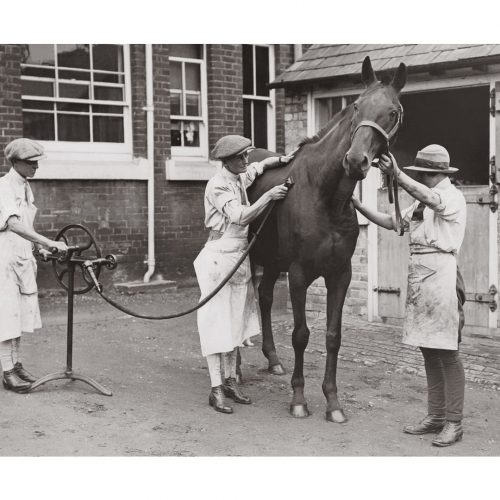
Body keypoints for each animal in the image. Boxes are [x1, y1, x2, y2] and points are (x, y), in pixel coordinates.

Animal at [246, 56, 406, 424]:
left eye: (393, 112)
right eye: (357, 105)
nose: (355, 160)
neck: (324, 194)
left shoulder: (340, 274)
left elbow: (333, 336)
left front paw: (332, 402)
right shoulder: (299, 274)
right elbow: (301, 335)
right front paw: (299, 399)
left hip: (273, 261)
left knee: (264, 297)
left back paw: (273, 359)